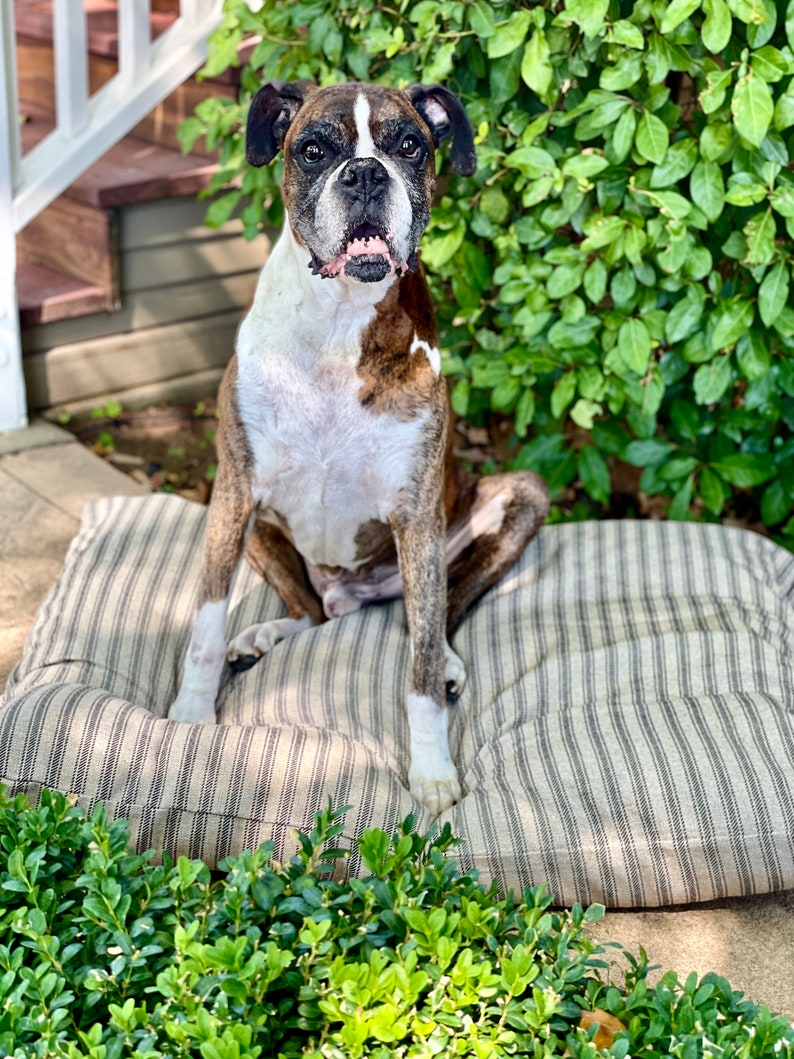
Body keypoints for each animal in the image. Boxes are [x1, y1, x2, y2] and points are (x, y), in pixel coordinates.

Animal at [170, 82, 550, 813]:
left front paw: (431, 771)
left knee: (434, 616)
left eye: (410, 146)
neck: (338, 322)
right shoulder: (233, 491)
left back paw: (444, 659)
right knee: (311, 610)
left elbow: (420, 669)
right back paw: (263, 635)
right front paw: (191, 715)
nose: (368, 174)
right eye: (314, 150)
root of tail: (355, 593)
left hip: (519, 497)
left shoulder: (416, 513)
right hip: (255, 527)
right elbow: (204, 624)